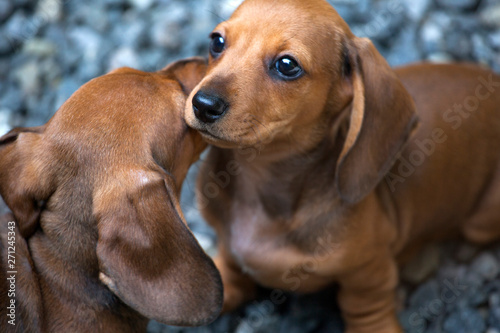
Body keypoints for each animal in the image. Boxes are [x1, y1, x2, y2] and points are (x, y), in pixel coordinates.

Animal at [183, 1, 500, 330]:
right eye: (217, 42)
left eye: (287, 65)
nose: (203, 104)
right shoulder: (230, 257)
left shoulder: (367, 270)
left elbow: (364, 306)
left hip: (481, 222)